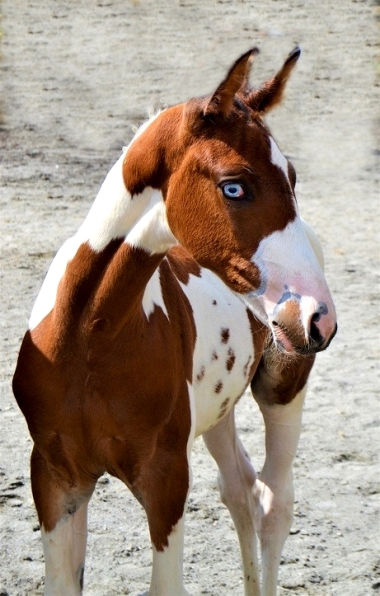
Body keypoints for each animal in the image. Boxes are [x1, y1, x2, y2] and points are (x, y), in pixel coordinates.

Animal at [14, 47, 336, 596]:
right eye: (234, 186)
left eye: (292, 179)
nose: (318, 316)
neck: (87, 340)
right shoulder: (56, 480)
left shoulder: (166, 481)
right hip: (217, 408)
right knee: (240, 490)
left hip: (282, 389)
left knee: (273, 503)